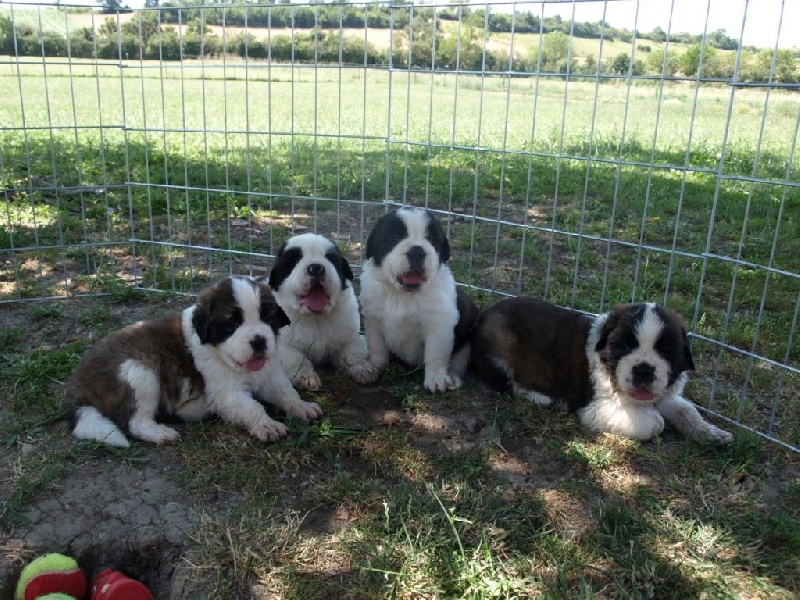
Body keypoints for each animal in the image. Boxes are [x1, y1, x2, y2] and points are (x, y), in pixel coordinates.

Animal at [63, 276, 322, 446]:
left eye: (267, 317)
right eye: (232, 322)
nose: (259, 341)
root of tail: (77, 382)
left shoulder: (268, 375)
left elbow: (285, 392)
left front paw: (301, 406)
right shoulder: (227, 393)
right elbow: (252, 407)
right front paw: (267, 425)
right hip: (137, 372)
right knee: (134, 421)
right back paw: (161, 433)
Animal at [268, 232, 378, 392]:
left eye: (330, 258)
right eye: (294, 260)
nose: (316, 268)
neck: (315, 318)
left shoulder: (351, 335)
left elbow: (353, 352)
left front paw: (363, 368)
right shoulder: (283, 345)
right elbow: (297, 359)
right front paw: (306, 377)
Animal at [360, 206, 478, 394]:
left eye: (432, 240)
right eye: (394, 238)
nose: (417, 251)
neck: (402, 295)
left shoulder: (439, 325)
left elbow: (435, 354)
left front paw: (436, 379)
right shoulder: (373, 319)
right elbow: (377, 346)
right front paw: (374, 366)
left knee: (460, 358)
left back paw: (451, 377)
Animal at [472, 298, 736, 442]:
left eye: (666, 350)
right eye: (624, 346)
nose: (643, 370)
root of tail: (486, 313)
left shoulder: (663, 395)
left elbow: (687, 410)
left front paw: (713, 433)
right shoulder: (597, 409)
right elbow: (655, 422)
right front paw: (655, 419)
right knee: (504, 382)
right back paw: (540, 397)